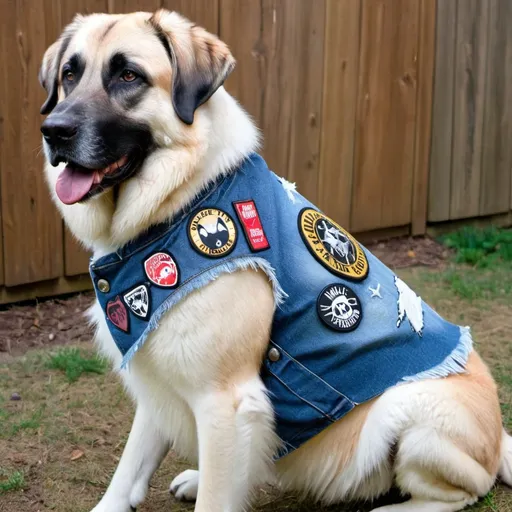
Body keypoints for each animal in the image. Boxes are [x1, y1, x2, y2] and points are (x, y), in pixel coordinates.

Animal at [40, 9, 512, 512]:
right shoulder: (158, 375)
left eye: (129, 75)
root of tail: (498, 437)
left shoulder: (225, 401)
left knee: (463, 491)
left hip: (414, 409)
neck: (182, 199)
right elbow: (129, 468)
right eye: (70, 74)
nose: (54, 132)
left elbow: (214, 498)